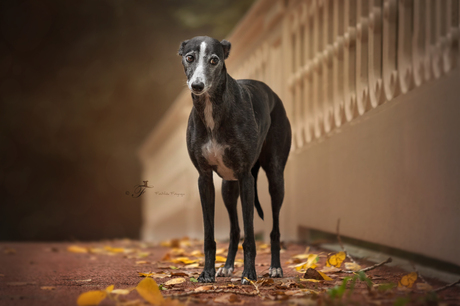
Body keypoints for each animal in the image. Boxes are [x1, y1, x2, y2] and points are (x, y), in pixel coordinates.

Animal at [180, 35, 292, 284]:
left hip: (275, 177)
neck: (212, 111)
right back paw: (227, 266)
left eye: (214, 60)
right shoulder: (205, 179)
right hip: (228, 188)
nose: (197, 86)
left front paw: (249, 274)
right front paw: (207, 272)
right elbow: (210, 235)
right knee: (234, 229)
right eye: (190, 57)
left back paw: (275, 267)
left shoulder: (245, 177)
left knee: (274, 228)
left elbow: (250, 236)